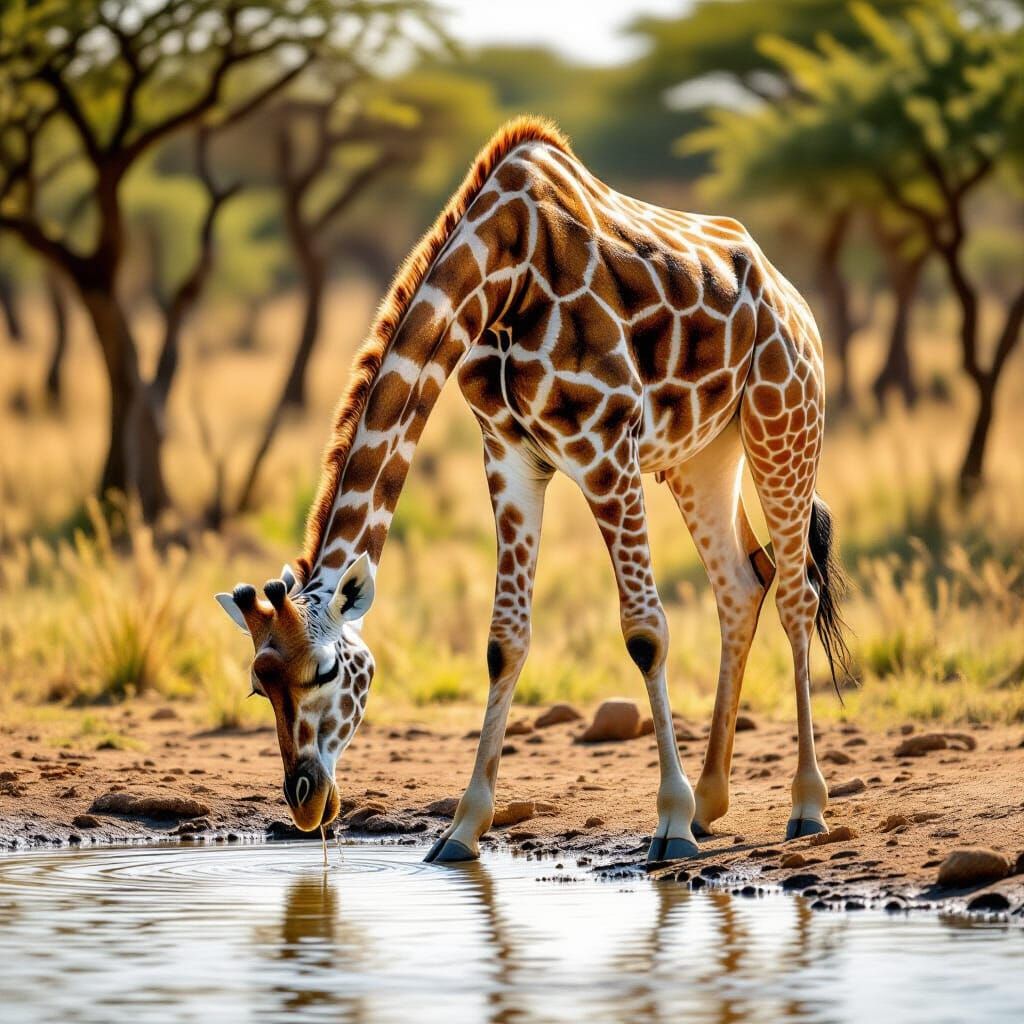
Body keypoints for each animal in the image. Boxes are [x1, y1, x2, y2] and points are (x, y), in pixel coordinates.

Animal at [216, 116, 848, 864]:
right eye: (259, 685)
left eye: (324, 671)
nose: (306, 802)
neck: (506, 270)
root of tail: (791, 294)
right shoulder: (511, 455)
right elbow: (504, 641)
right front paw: (462, 828)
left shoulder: (606, 448)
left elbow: (646, 631)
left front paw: (668, 822)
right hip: (704, 455)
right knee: (742, 583)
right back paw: (713, 801)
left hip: (784, 419)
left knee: (795, 595)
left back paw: (805, 806)